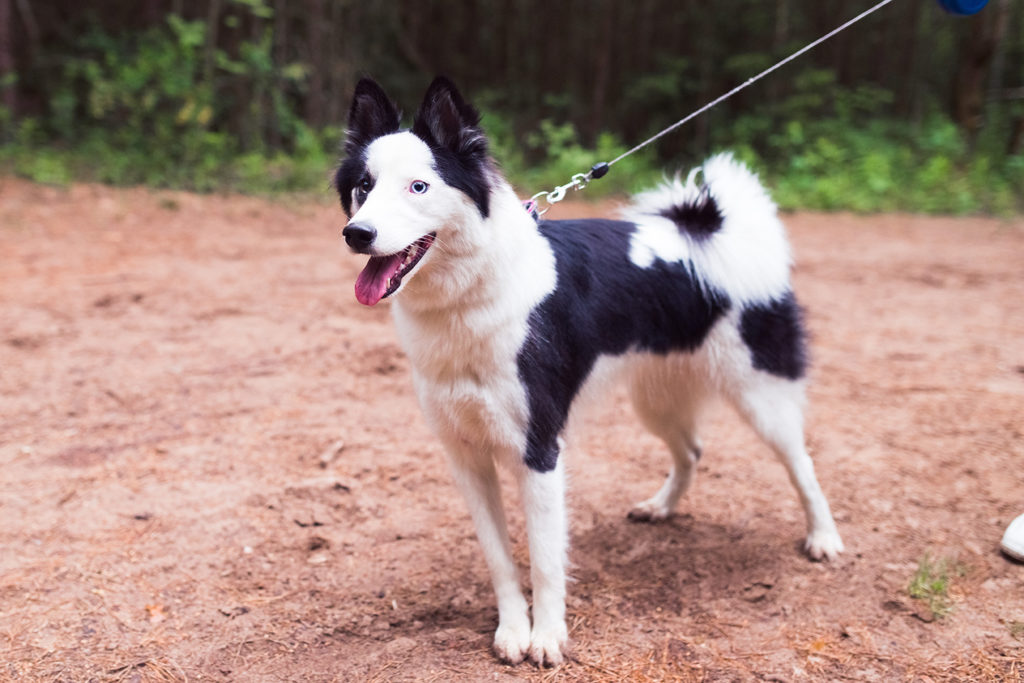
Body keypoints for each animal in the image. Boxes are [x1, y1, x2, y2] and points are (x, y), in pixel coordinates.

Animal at [331, 77, 843, 663]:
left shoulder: (539, 450)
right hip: (655, 398)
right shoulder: (465, 456)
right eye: (364, 186)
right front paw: (513, 630)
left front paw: (548, 637)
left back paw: (824, 538)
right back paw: (661, 507)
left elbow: (545, 559)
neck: (473, 293)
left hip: (762, 395)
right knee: (691, 450)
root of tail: (711, 234)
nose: (357, 234)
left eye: (418, 187)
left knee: (801, 462)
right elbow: (500, 558)